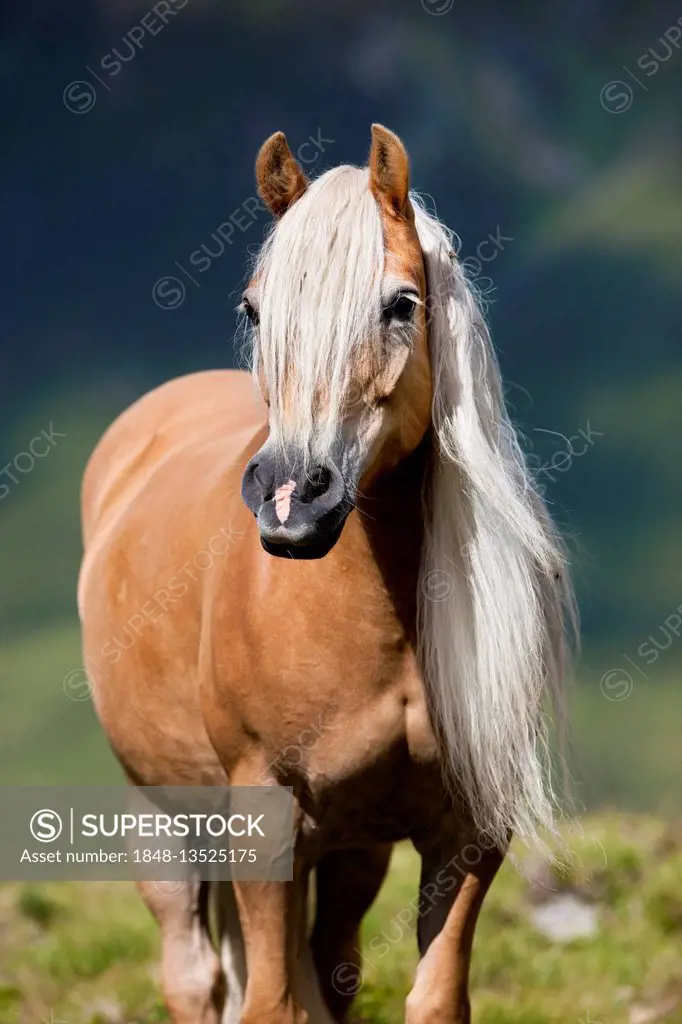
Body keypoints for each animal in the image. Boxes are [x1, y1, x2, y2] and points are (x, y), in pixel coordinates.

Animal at [78, 125, 573, 1024]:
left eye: (401, 304)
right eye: (253, 309)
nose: (289, 499)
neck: (379, 626)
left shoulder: (466, 830)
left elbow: (431, 996)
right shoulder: (264, 819)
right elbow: (271, 1003)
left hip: (350, 849)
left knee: (332, 964)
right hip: (163, 813)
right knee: (194, 976)